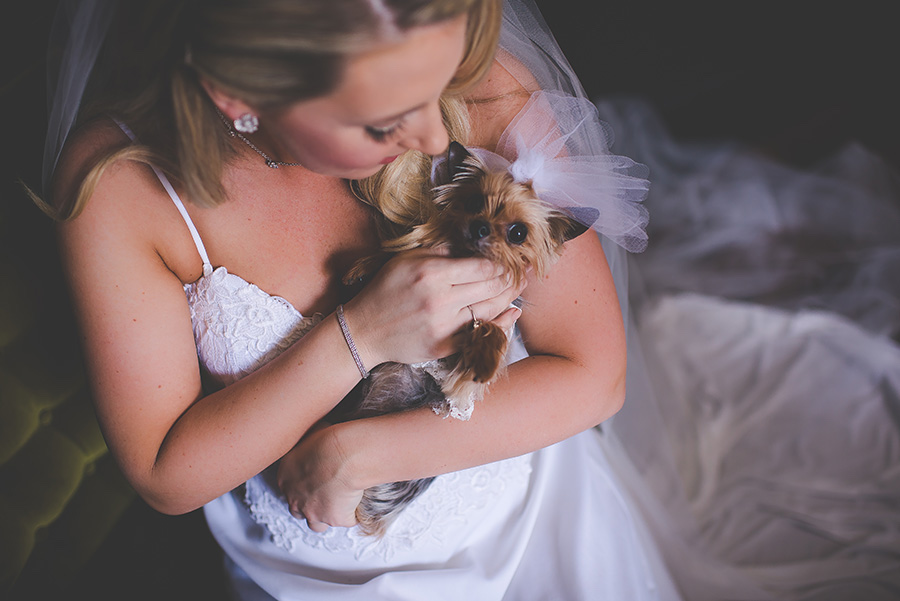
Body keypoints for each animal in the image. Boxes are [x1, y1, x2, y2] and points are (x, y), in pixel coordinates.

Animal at [334, 142, 596, 540]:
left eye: (518, 233)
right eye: (473, 202)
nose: (480, 226)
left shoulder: (466, 359)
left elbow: (489, 333)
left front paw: (485, 357)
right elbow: (393, 255)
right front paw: (363, 266)